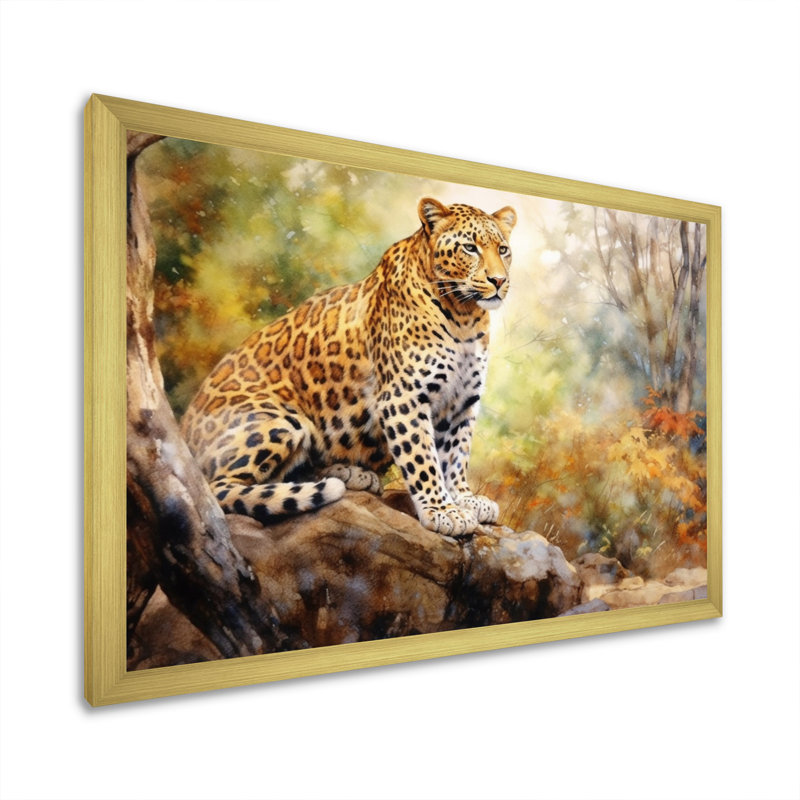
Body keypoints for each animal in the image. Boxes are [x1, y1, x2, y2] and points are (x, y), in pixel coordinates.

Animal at [180, 197, 516, 536]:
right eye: (470, 248)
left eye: (503, 250)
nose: (498, 281)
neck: (464, 315)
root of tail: (183, 431)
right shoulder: (404, 397)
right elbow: (422, 458)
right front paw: (442, 510)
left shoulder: (462, 401)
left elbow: (456, 454)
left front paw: (464, 499)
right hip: (281, 421)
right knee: (218, 488)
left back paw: (349, 474)